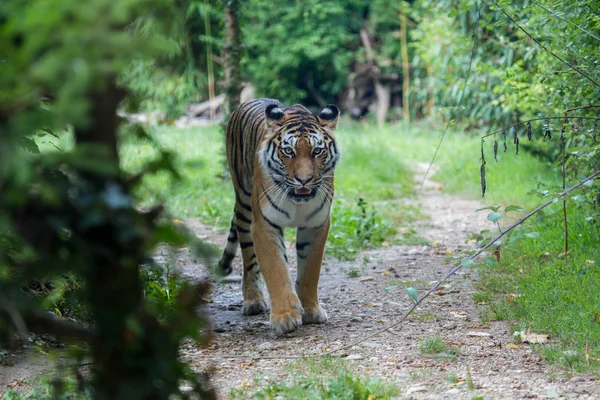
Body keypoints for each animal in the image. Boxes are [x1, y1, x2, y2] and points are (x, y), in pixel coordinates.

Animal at [217, 97, 340, 334]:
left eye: (317, 151)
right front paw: (285, 317)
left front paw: (311, 310)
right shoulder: (264, 224)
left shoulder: (316, 224)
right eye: (289, 151)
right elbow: (276, 269)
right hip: (245, 208)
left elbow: (310, 271)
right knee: (249, 260)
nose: (304, 180)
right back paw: (253, 300)